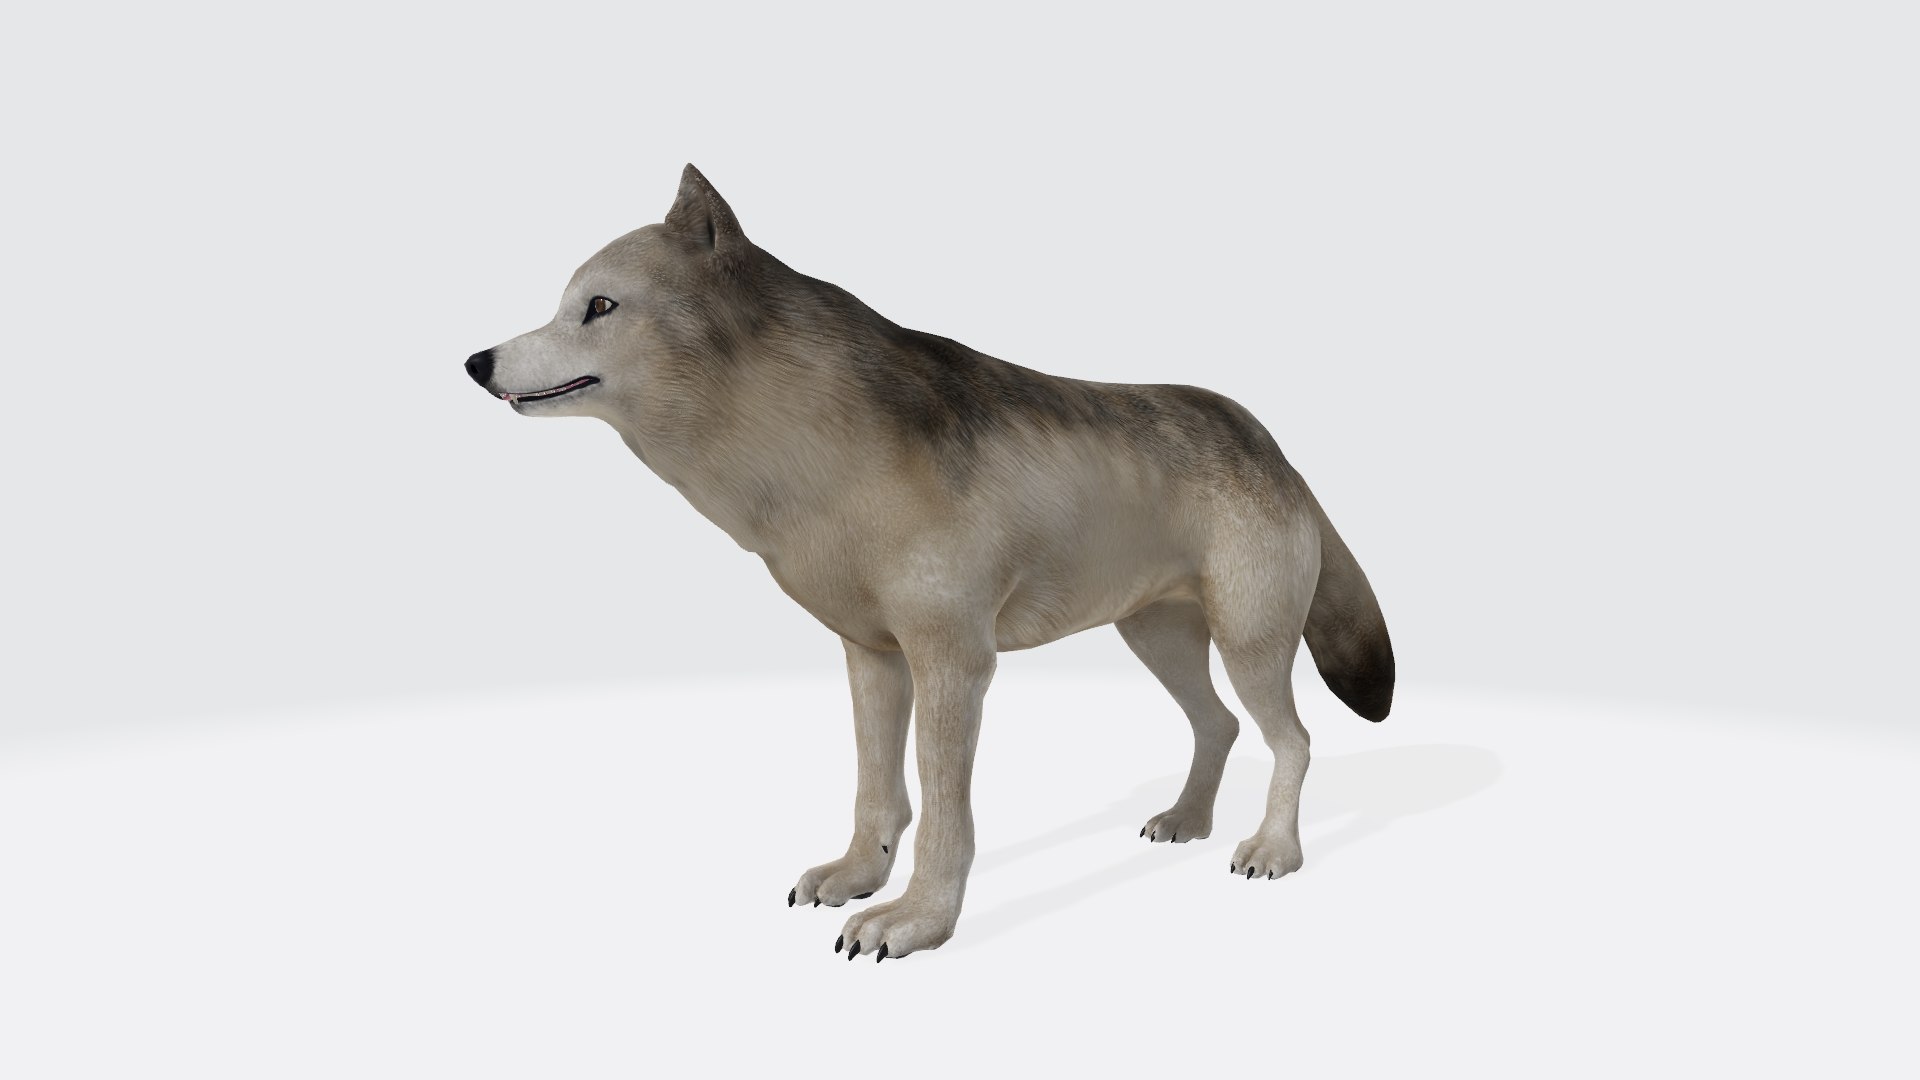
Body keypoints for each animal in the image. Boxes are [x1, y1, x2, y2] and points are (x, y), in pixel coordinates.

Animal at [466, 165, 1394, 962]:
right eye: (564, 306)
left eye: (599, 306)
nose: (477, 362)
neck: (808, 452)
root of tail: (1266, 439)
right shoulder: (873, 657)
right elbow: (877, 793)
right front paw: (857, 877)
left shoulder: (955, 664)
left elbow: (946, 814)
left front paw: (915, 921)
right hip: (1156, 641)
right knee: (1221, 726)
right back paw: (1186, 821)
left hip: (1248, 644)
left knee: (1293, 738)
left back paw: (1273, 849)